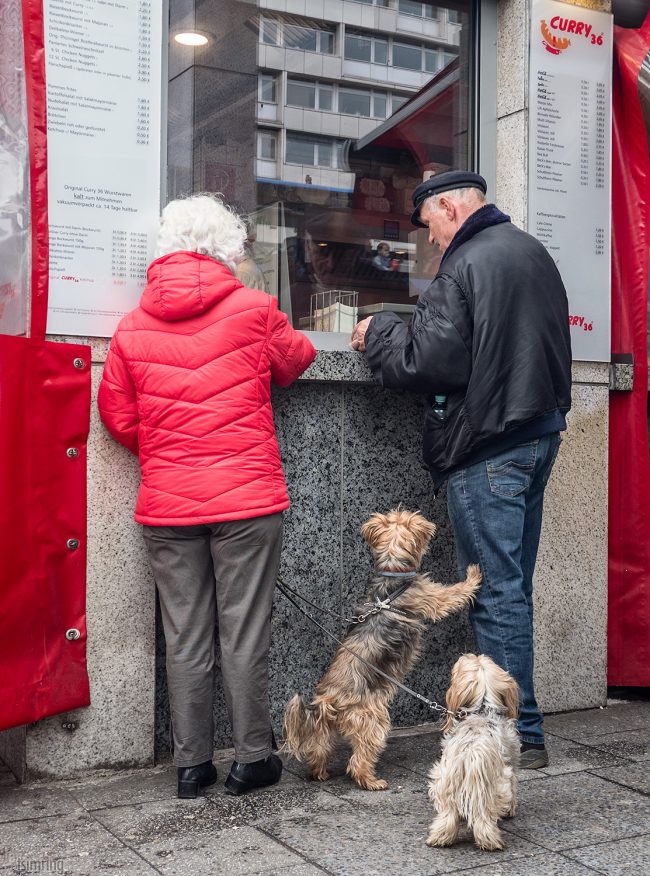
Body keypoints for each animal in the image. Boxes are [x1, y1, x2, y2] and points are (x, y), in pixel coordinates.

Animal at [280, 510, 478, 792]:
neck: (392, 571)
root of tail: (329, 699)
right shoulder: (430, 597)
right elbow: (452, 594)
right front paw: (474, 574)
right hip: (372, 718)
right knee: (360, 756)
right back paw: (371, 781)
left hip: (330, 727)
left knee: (320, 746)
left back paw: (320, 773)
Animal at [422, 656, 520, 848]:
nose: (468, 655)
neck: (482, 710)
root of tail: (470, 755)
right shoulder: (512, 760)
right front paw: (511, 810)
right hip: (494, 787)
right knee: (484, 816)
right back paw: (490, 841)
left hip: (443, 781)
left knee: (448, 815)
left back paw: (440, 837)